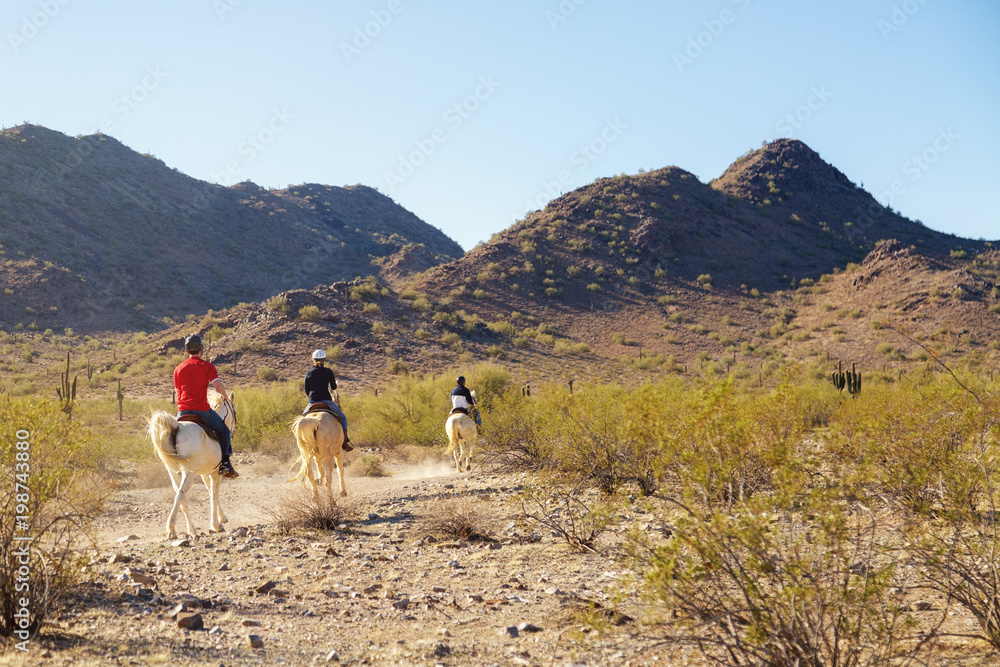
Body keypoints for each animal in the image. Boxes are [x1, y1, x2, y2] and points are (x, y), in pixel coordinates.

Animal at [147, 392, 237, 544]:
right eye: (234, 412)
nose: (234, 431)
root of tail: (176, 428)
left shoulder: (205, 473)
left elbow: (210, 491)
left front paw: (221, 518)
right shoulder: (215, 473)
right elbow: (214, 494)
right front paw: (216, 525)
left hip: (174, 471)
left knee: (182, 497)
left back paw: (191, 530)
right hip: (188, 472)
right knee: (181, 493)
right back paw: (171, 529)